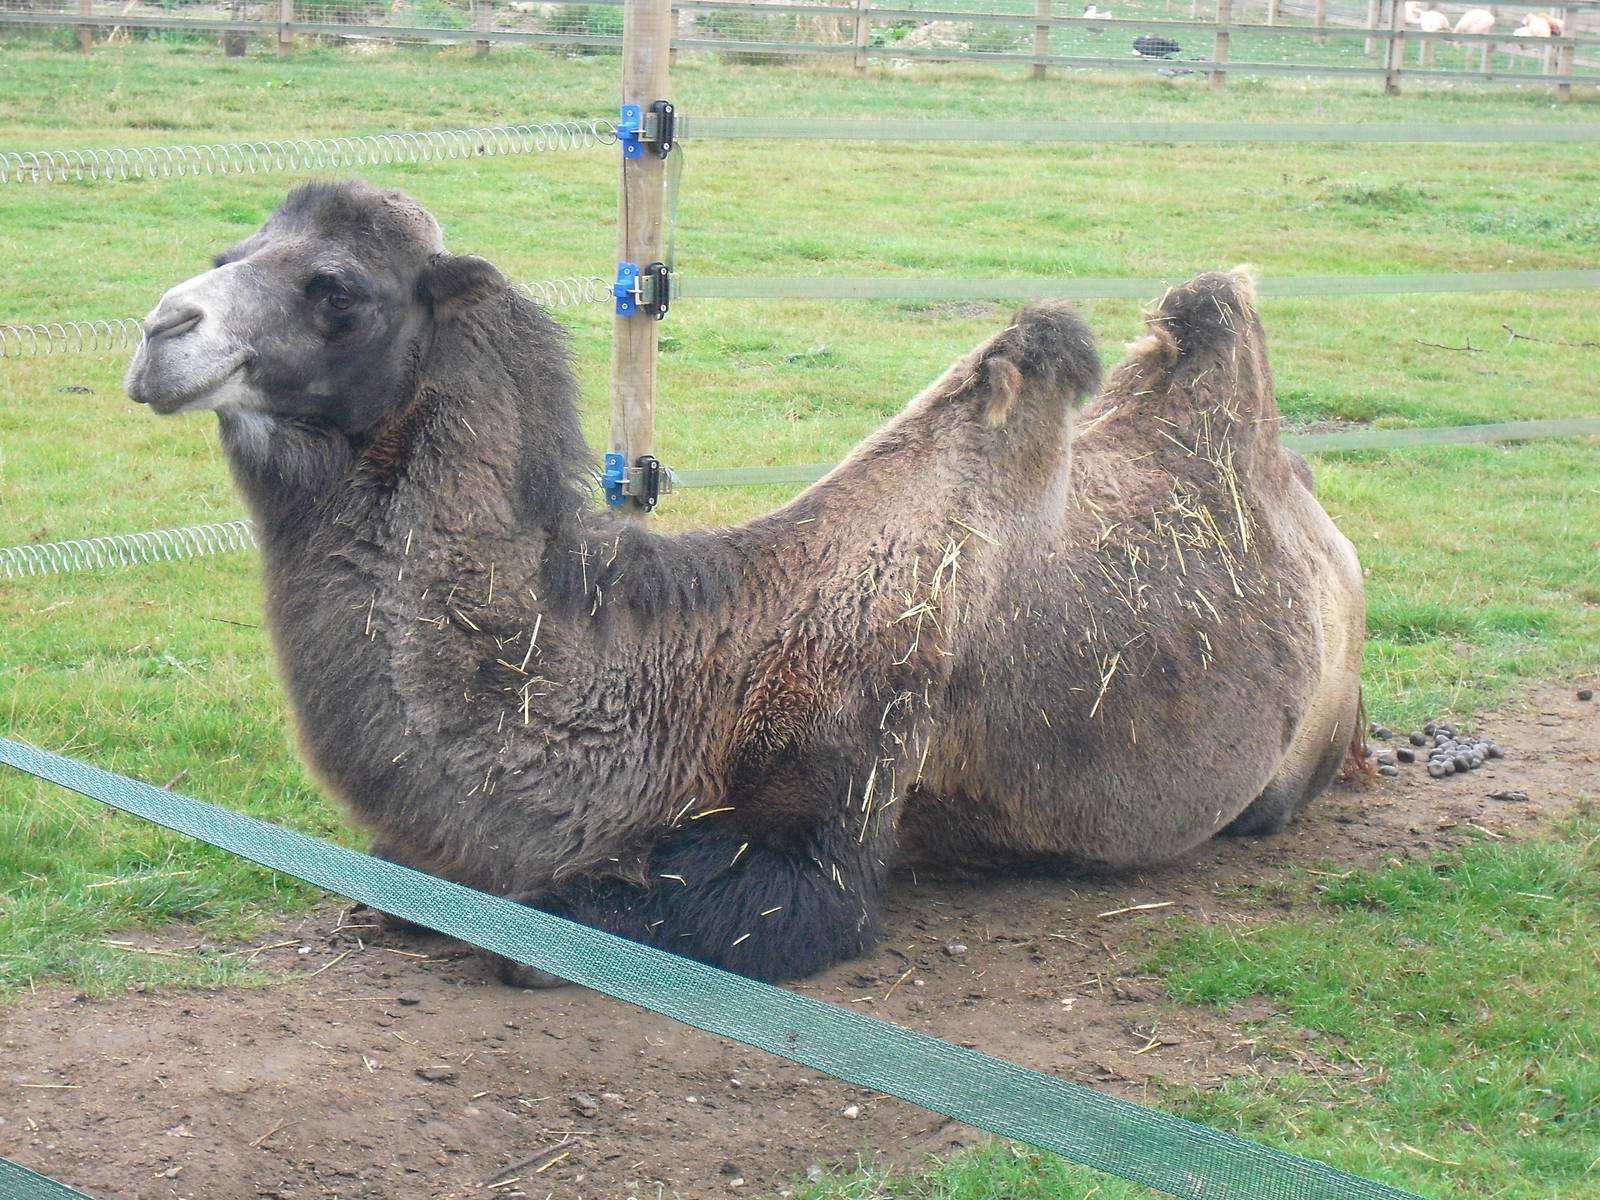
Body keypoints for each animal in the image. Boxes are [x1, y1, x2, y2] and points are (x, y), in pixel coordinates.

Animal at [125, 181, 1365, 984]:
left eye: (336, 288)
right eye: (232, 252)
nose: (159, 330)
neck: (681, 678)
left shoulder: (831, 822)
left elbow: (556, 932)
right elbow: (394, 887)